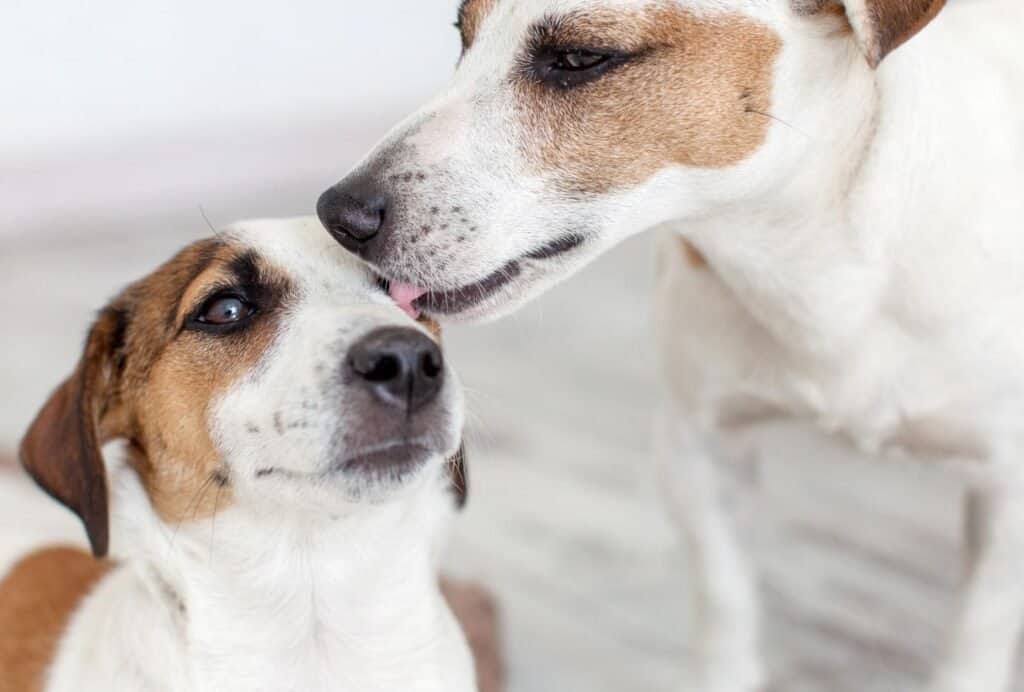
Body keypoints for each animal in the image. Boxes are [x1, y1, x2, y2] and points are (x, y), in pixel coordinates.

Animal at [317, 0, 1024, 687]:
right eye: (462, 34)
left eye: (580, 58)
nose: (338, 213)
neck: (818, 256)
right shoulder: (698, 447)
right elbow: (726, 605)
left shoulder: (1005, 491)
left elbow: (976, 637)